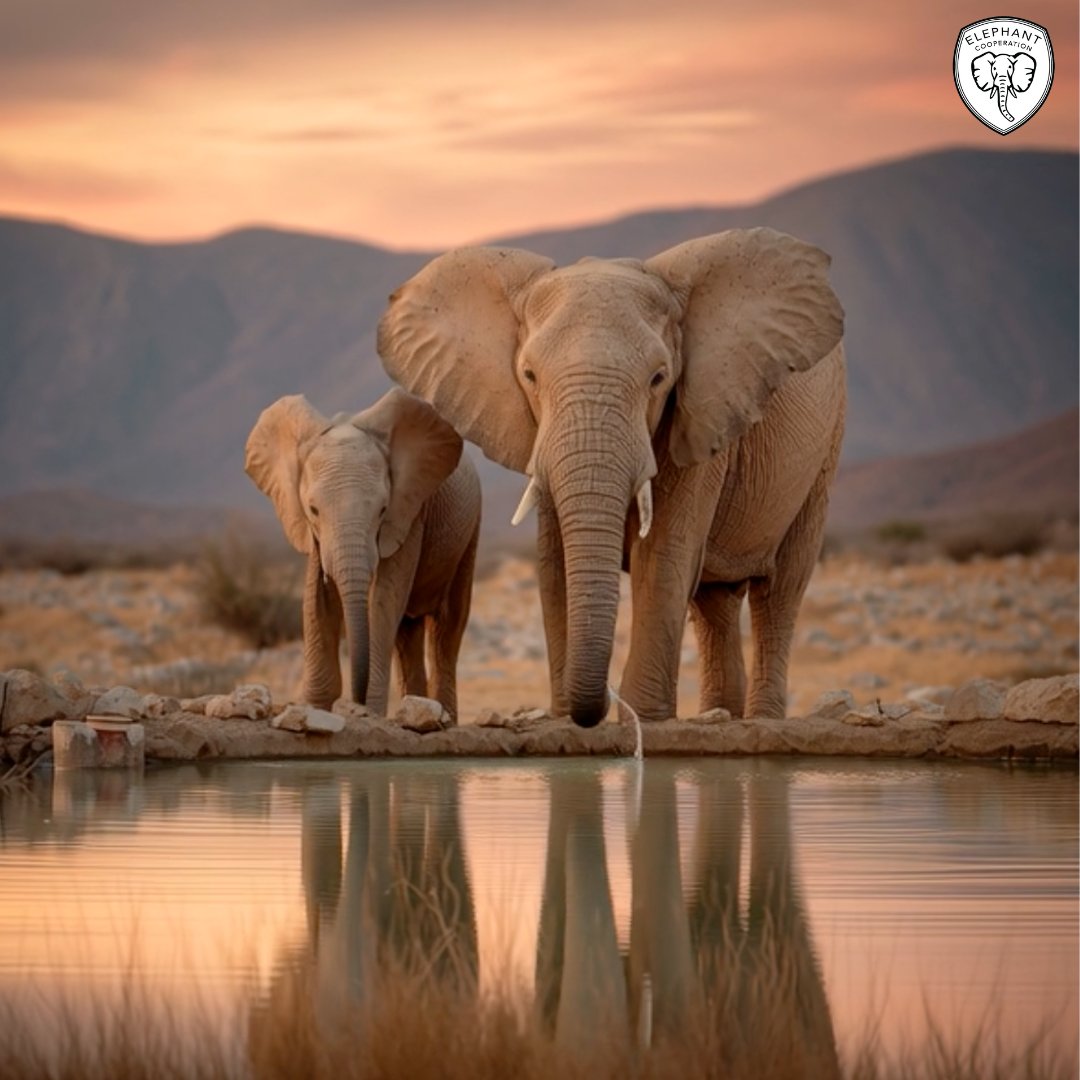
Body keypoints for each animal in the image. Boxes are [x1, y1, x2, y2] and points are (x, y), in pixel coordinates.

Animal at [245, 388, 481, 718]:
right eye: (313, 510)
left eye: (382, 510)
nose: (354, 701)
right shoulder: (315, 536)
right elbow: (316, 600)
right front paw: (314, 709)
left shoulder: (409, 514)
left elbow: (383, 598)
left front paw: (367, 711)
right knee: (407, 632)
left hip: (470, 532)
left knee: (447, 628)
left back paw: (443, 715)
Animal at [378, 228, 845, 725]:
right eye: (529, 375)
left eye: (659, 378)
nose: (599, 703)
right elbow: (555, 562)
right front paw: (568, 715)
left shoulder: (695, 418)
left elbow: (662, 554)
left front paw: (645, 719)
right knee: (713, 604)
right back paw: (719, 715)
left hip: (825, 449)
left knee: (779, 591)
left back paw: (761, 718)